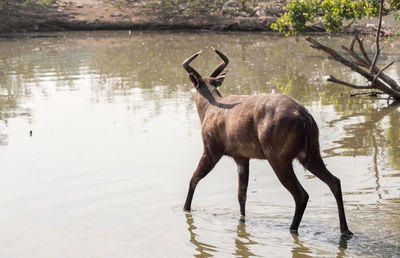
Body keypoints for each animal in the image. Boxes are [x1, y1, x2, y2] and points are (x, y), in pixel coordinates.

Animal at [183, 47, 352, 237]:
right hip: (312, 152)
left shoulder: (211, 149)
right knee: (335, 182)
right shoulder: (242, 157)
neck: (208, 110)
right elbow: (242, 194)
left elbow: (194, 178)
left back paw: (293, 229)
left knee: (301, 195)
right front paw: (242, 220)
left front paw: (185, 209)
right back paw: (345, 230)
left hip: (277, 156)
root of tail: (306, 118)